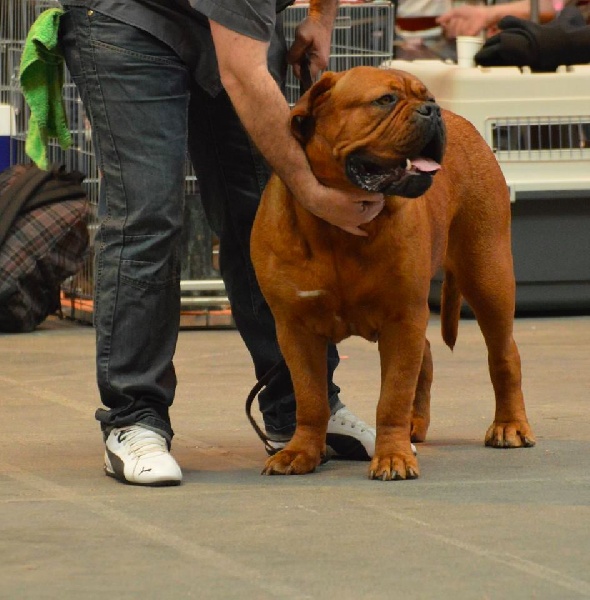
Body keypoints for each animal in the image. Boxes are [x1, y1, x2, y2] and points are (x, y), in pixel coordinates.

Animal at [250, 66, 536, 480]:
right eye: (384, 100)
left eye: (427, 95)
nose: (432, 109)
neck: (337, 233)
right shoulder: (296, 329)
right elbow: (311, 397)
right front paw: (300, 451)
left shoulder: (402, 318)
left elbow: (392, 397)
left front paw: (393, 457)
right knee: (427, 354)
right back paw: (416, 425)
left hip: (488, 274)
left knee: (504, 354)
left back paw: (509, 425)